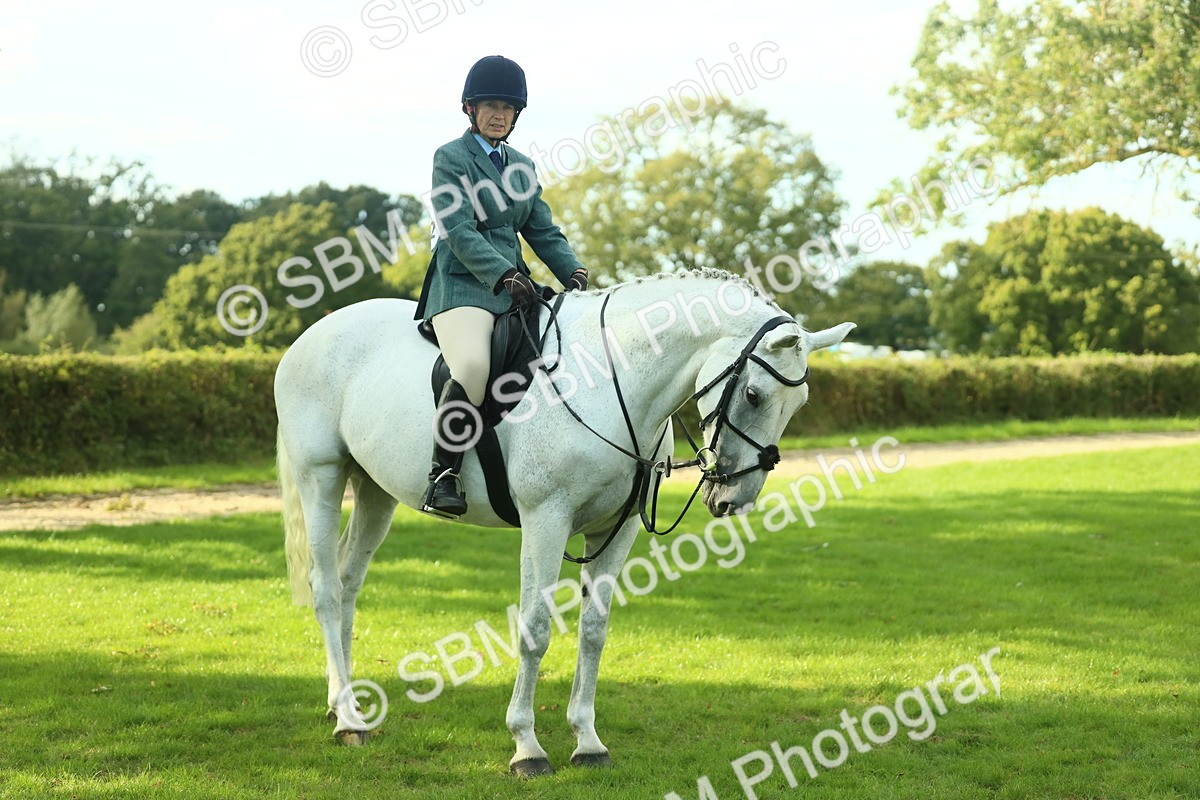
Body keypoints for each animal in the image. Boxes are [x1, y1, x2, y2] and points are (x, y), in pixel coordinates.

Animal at [275, 268, 854, 775]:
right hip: (321, 476)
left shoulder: (616, 530)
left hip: (375, 491)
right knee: (327, 588)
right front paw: (526, 747)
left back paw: (344, 702)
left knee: (350, 581)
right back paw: (349, 721)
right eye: (754, 394)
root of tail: (309, 336)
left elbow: (594, 629)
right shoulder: (546, 520)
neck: (611, 380)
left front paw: (588, 741)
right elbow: (534, 628)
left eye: (799, 403)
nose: (734, 498)